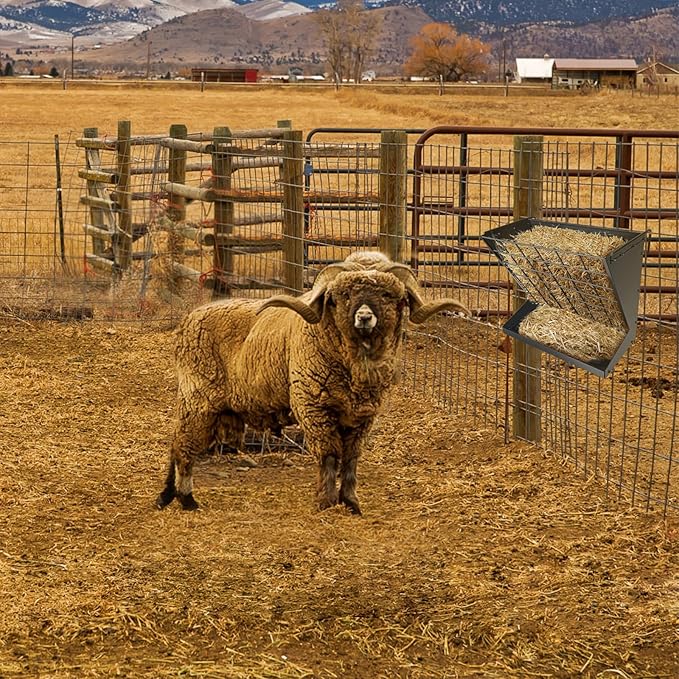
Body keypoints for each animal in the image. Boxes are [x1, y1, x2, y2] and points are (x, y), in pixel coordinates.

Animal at [155, 252, 470, 514]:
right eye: (342, 295)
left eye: (388, 295)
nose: (364, 317)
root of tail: (187, 320)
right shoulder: (313, 407)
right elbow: (330, 455)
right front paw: (326, 501)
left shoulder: (363, 417)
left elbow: (352, 459)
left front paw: (351, 502)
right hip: (199, 399)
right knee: (183, 446)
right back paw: (187, 500)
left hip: (204, 405)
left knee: (176, 441)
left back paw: (166, 496)